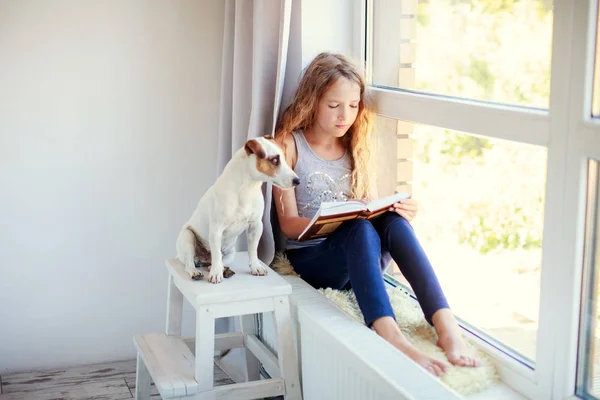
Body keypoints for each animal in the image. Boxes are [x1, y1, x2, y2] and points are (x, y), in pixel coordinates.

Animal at [177, 136, 300, 282]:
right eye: (274, 160)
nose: (298, 181)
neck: (247, 189)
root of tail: (203, 260)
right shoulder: (216, 229)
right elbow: (216, 255)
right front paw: (216, 273)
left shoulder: (256, 225)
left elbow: (253, 250)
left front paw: (256, 267)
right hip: (188, 237)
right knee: (191, 262)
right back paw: (197, 271)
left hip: (231, 253)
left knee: (217, 262)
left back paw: (224, 270)